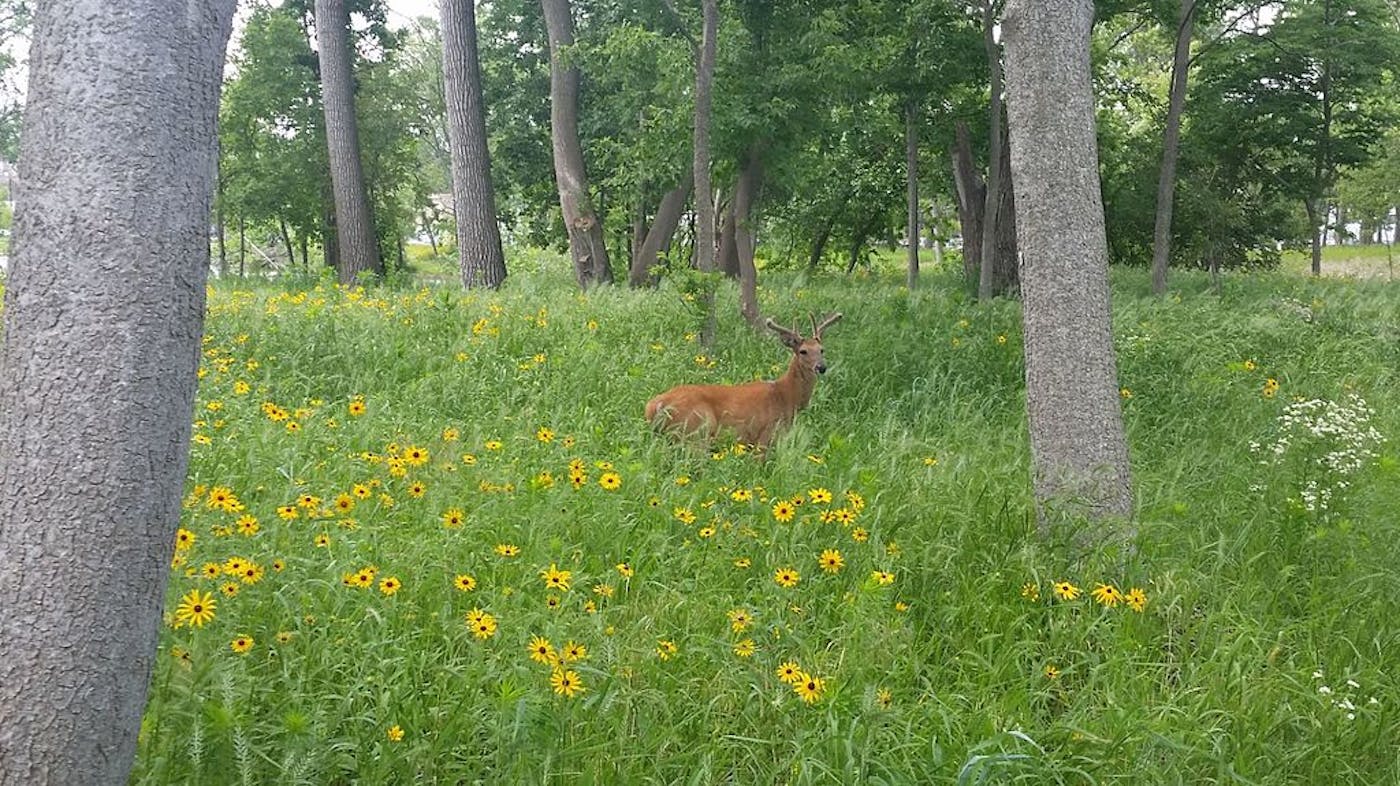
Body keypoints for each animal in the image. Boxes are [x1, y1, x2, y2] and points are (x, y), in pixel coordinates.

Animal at [644, 312, 840, 448]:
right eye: (803, 351)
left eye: (822, 350)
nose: (821, 367)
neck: (786, 396)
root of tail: (655, 406)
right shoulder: (765, 434)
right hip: (696, 432)